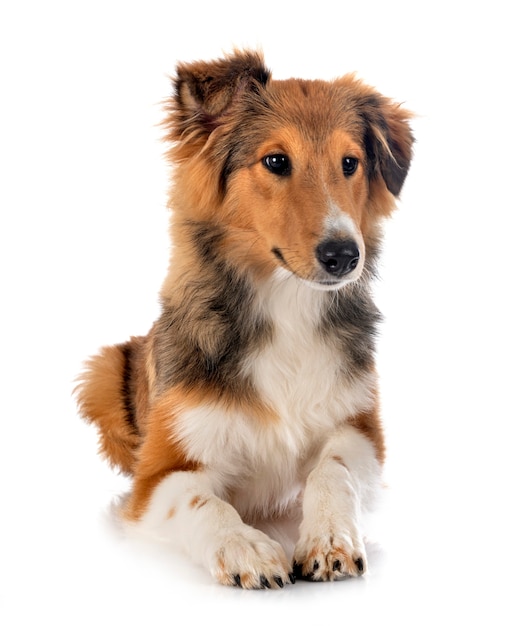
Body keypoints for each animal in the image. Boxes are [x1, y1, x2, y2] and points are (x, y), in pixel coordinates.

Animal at [76, 48, 412, 584]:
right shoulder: (159, 474)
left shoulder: (361, 430)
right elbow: (202, 502)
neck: (286, 305)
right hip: (104, 371)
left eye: (350, 163)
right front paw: (245, 547)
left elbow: (332, 469)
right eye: (276, 161)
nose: (344, 254)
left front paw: (329, 538)